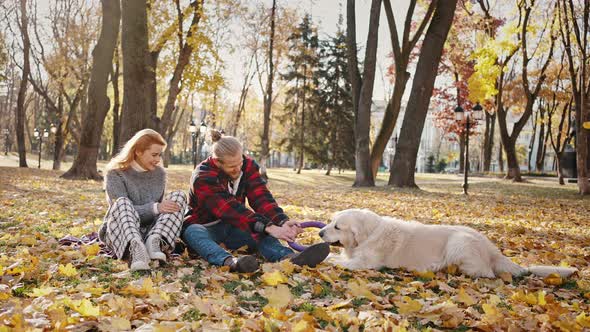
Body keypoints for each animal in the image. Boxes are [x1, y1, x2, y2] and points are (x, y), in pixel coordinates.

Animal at [322, 210, 580, 278]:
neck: (370, 233)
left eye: (337, 227)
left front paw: (329, 262)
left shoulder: (365, 263)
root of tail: (492, 248)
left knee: (487, 273)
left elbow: (340, 262)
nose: (320, 232)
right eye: (330, 222)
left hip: (459, 242)